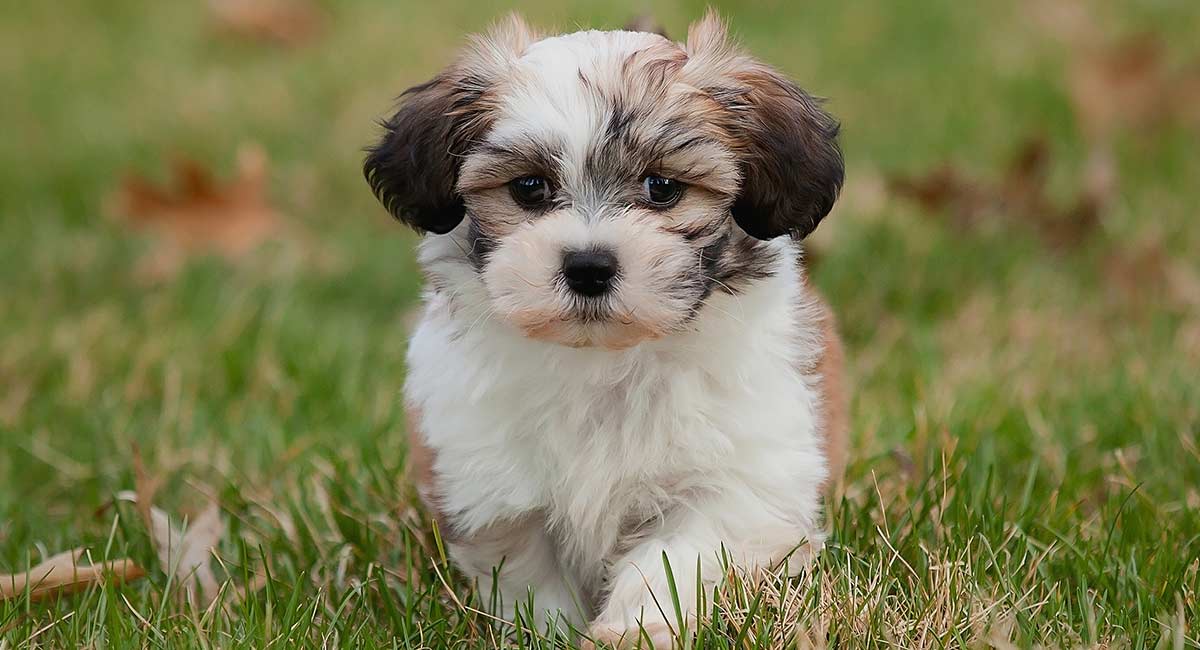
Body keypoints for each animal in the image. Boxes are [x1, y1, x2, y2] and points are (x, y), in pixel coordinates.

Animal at [360, 12, 849, 647]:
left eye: (662, 188)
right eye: (529, 187)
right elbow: (529, 576)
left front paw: (634, 628)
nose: (588, 266)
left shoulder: (737, 480)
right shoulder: (493, 483)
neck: (602, 358)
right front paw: (549, 633)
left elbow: (676, 557)